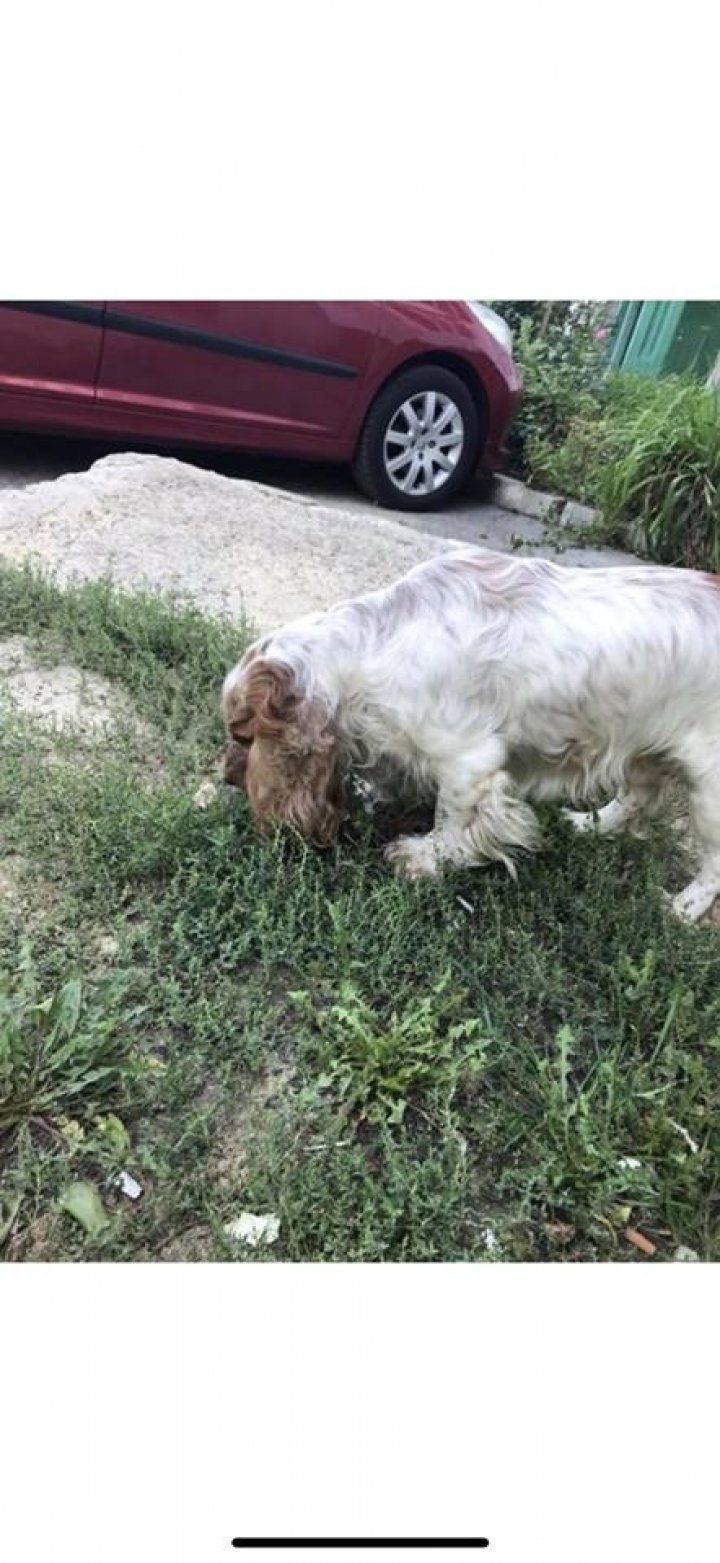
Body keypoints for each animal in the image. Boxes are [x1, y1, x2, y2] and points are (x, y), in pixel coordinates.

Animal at [220, 550, 720, 919]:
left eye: (243, 736)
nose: (227, 776)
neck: (372, 646)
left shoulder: (469, 762)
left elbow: (452, 819)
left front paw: (422, 858)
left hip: (709, 790)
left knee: (712, 863)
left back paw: (681, 909)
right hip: (646, 748)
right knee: (638, 797)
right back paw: (587, 824)